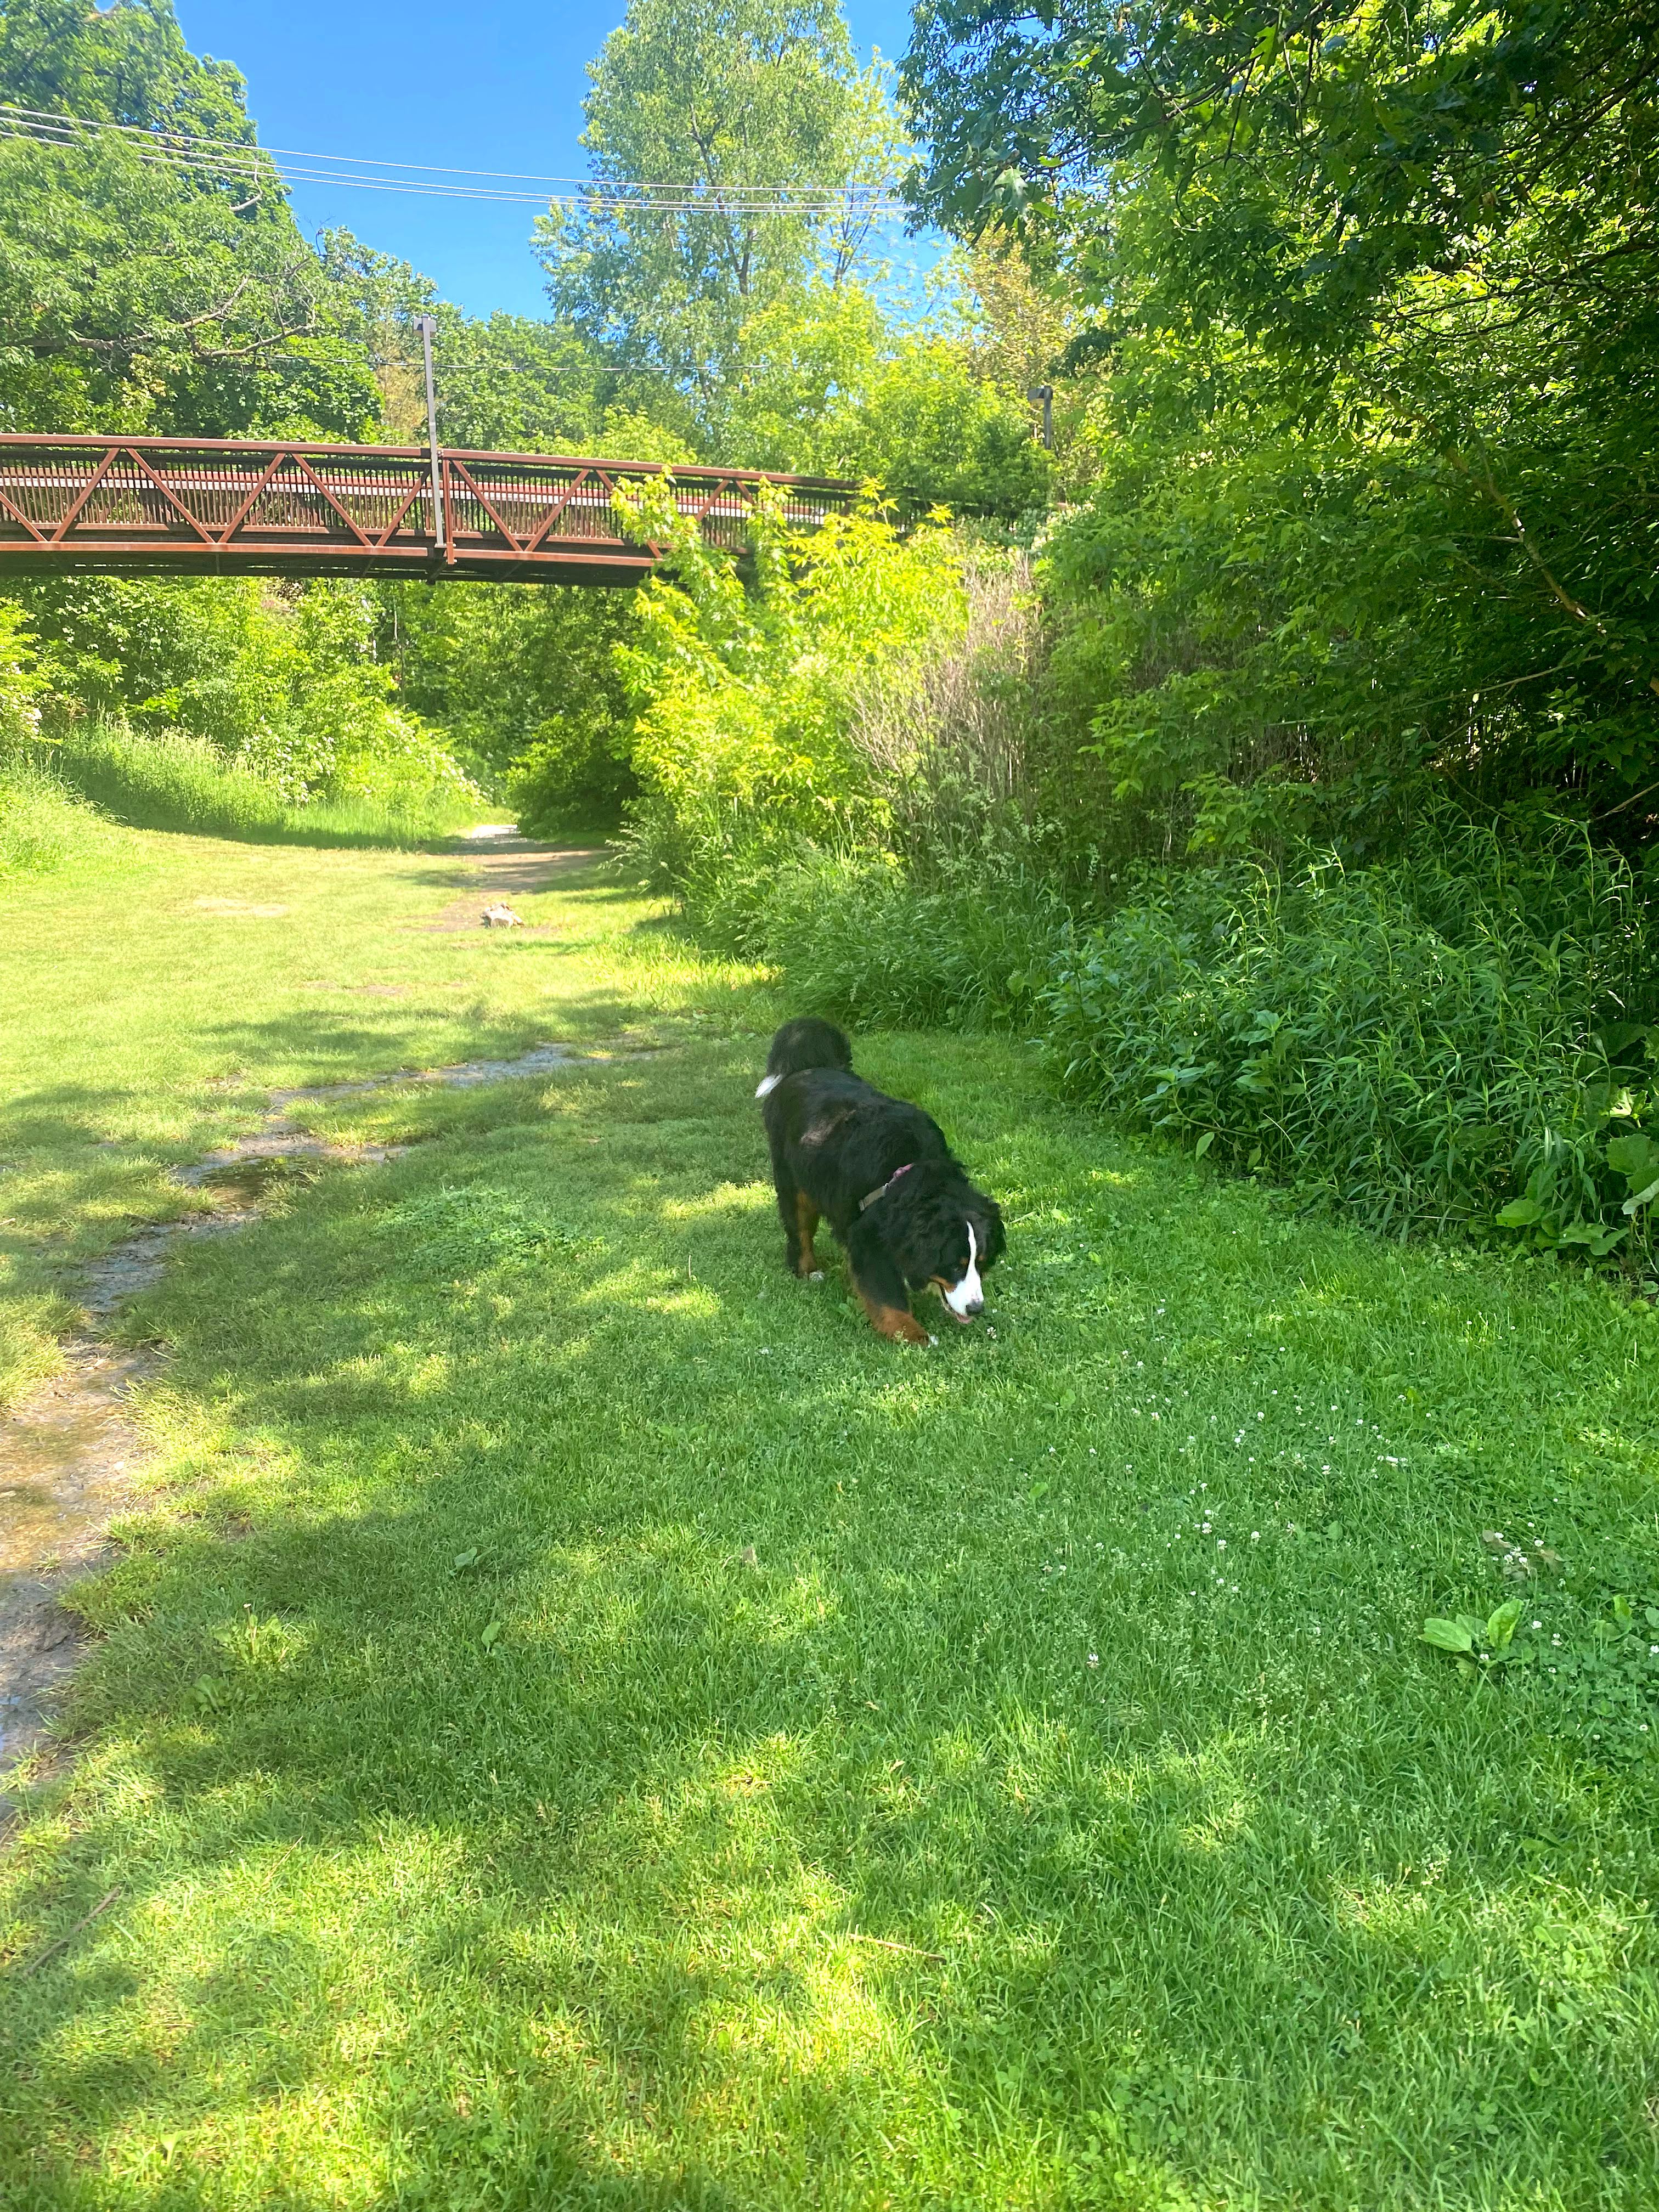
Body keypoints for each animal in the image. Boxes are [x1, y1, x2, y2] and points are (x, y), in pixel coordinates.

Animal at [761, 1017, 1008, 1345]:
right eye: (954, 1264)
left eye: (980, 1262)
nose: (976, 1308)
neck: (907, 1175)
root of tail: (808, 1068)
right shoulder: (869, 1238)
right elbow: (887, 1297)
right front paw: (914, 1335)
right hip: (793, 1182)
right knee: (799, 1229)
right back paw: (808, 1270)